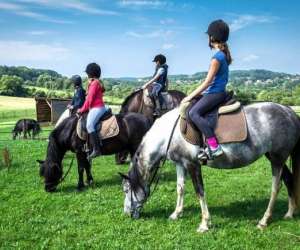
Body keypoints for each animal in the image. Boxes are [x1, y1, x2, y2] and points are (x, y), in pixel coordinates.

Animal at [120, 102, 300, 232]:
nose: (127, 214)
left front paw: (205, 224)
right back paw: (290, 213)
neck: (167, 134)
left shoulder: (192, 164)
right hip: (274, 157)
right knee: (289, 180)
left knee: (276, 187)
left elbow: (199, 191)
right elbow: (180, 188)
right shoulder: (180, 163)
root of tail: (288, 112)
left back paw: (264, 221)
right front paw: (176, 214)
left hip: (277, 158)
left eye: (126, 190)